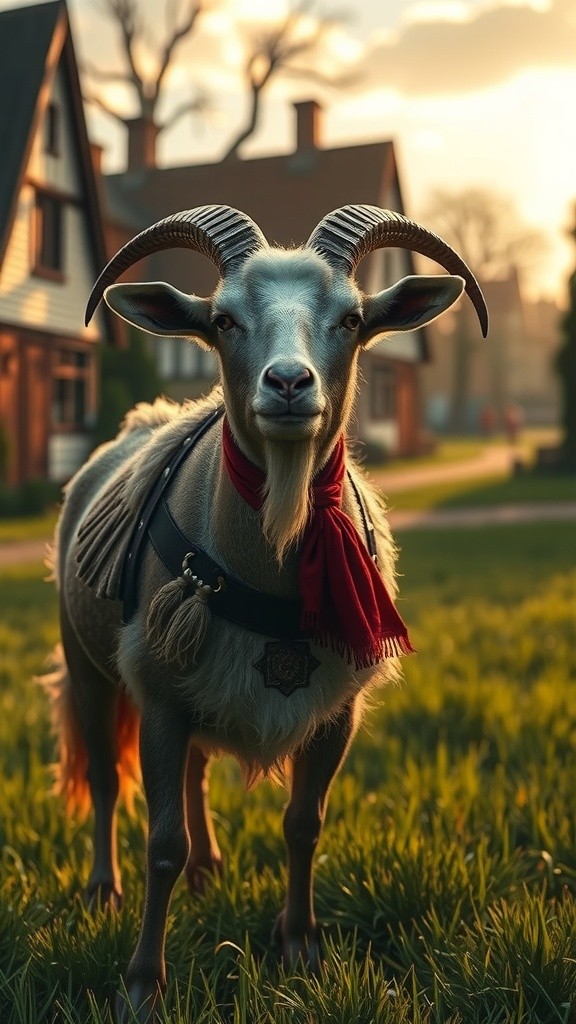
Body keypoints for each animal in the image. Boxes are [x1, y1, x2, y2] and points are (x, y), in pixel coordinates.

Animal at [48, 204, 487, 1022]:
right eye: (223, 320)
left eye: (352, 317)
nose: (288, 383)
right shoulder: (158, 697)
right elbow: (159, 841)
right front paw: (142, 985)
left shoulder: (334, 708)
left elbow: (303, 825)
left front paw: (301, 949)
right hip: (91, 662)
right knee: (103, 779)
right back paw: (102, 889)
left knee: (194, 771)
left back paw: (208, 870)